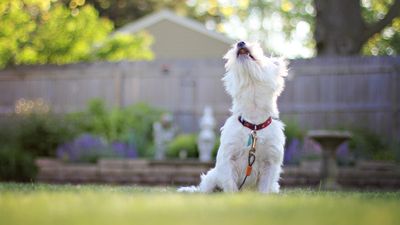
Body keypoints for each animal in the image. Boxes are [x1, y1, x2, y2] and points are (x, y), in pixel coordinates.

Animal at [179, 41, 288, 192]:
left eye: (260, 50)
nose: (241, 42)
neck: (253, 124)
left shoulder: (270, 162)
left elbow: (264, 189)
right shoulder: (227, 158)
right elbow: (230, 185)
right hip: (211, 178)